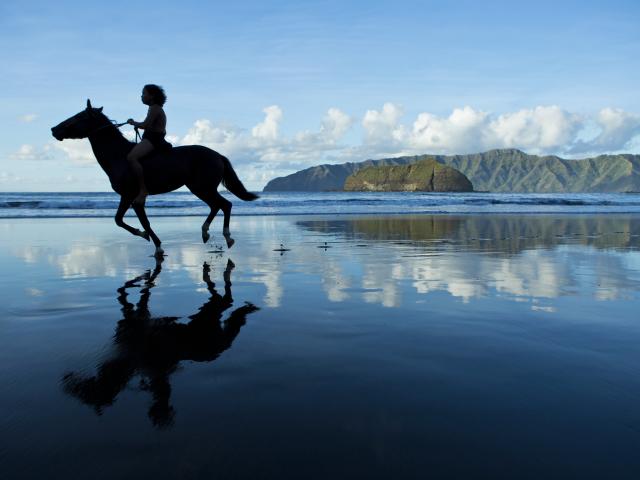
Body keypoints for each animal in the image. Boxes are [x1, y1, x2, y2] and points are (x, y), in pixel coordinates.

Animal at [51, 99, 258, 256]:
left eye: (78, 116)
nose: (54, 129)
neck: (118, 156)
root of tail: (217, 155)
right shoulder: (129, 198)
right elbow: (123, 220)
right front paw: (147, 237)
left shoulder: (131, 196)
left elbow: (134, 221)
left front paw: (153, 242)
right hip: (200, 188)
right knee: (217, 206)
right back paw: (206, 233)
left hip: (202, 188)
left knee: (225, 205)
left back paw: (227, 236)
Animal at [62, 256, 258, 430]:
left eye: (86, 393)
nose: (67, 382)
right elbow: (130, 297)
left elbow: (129, 297)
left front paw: (142, 281)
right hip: (209, 315)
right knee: (224, 300)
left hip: (209, 314)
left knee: (226, 298)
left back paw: (220, 270)